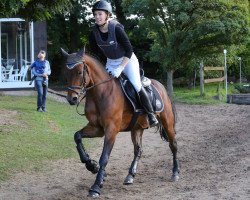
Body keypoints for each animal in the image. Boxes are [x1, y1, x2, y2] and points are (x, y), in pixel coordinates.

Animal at [62, 47, 180, 198]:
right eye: (66, 73)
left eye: (78, 72)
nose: (72, 99)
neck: (101, 93)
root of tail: (160, 85)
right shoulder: (97, 128)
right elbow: (77, 136)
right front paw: (92, 166)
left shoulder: (111, 130)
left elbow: (104, 157)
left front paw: (96, 186)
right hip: (137, 127)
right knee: (138, 150)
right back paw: (130, 176)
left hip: (167, 122)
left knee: (173, 145)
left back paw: (175, 173)